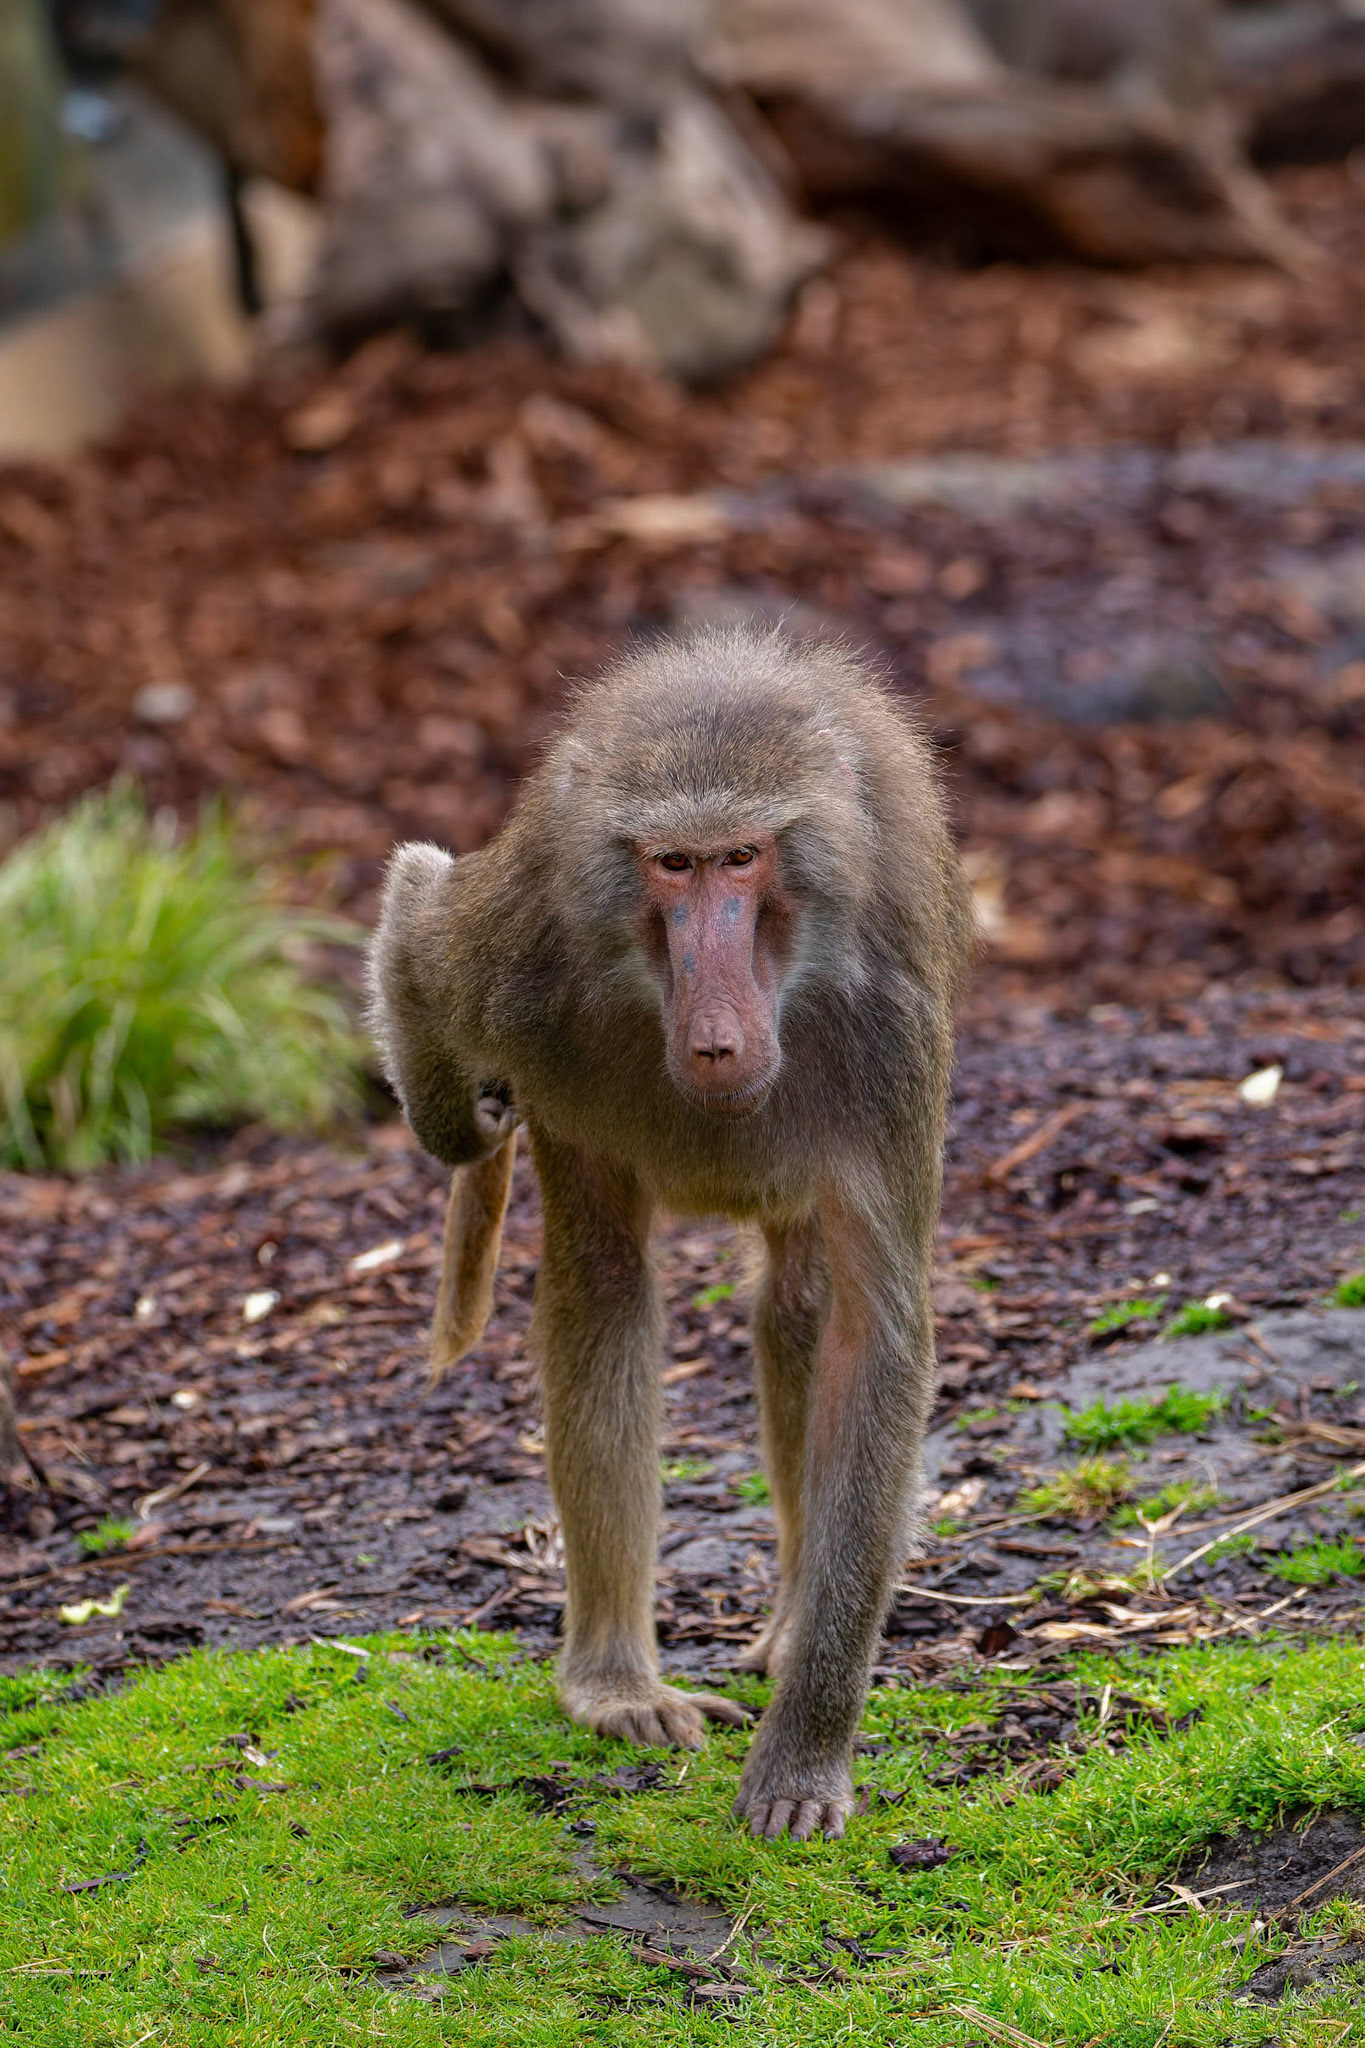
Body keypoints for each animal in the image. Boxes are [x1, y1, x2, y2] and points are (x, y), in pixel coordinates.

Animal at [367, 626, 973, 1840]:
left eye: (741, 859)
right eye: (671, 867)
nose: (714, 1039)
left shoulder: (887, 1036)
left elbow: (875, 1340)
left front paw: (805, 1749)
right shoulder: (516, 951)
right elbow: (413, 917)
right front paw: (462, 1121)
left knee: (800, 1304)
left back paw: (790, 1623)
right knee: (604, 1284)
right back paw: (615, 1679)